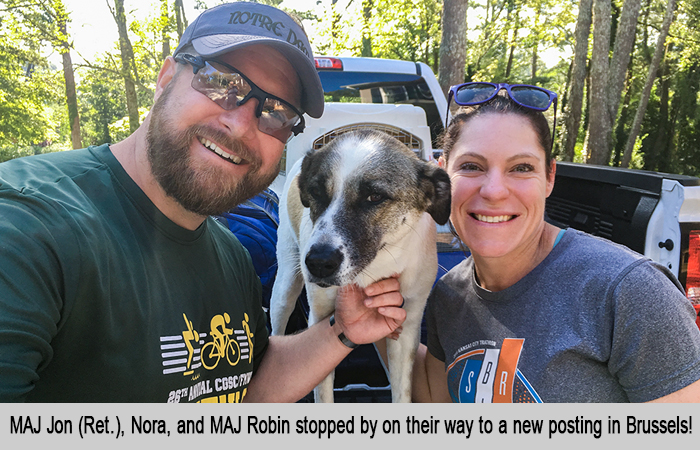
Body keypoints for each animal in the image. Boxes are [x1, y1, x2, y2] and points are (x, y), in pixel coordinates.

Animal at [268, 128, 448, 402]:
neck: (374, 266)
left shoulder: (407, 327)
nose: (318, 263)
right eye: (316, 192)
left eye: (375, 197)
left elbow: (402, 393)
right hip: (286, 283)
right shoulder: (318, 320)